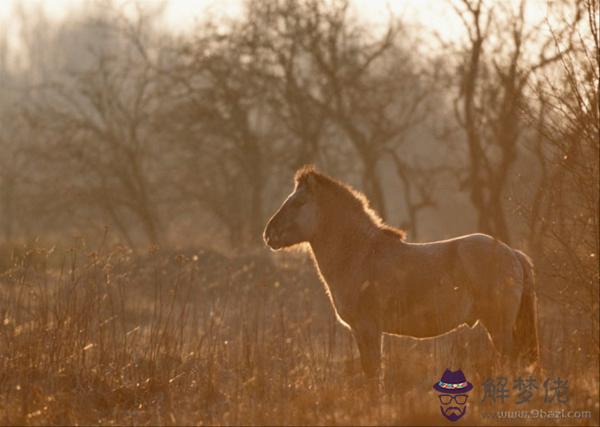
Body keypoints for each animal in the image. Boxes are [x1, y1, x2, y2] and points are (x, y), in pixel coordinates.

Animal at [262, 166, 540, 380]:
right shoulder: (362, 332)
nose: (268, 233)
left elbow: (373, 375)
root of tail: (512, 253)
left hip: (499, 327)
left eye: (298, 202)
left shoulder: (368, 329)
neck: (359, 255)